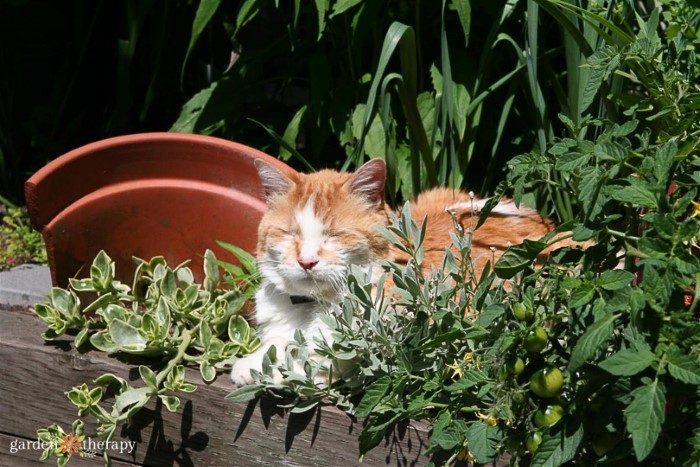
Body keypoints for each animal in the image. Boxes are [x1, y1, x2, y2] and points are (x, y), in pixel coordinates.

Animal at [232, 159, 556, 386]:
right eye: (289, 233)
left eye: (335, 234)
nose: (306, 261)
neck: (311, 306)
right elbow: (276, 343)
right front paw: (252, 363)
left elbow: (312, 359)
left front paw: (278, 371)